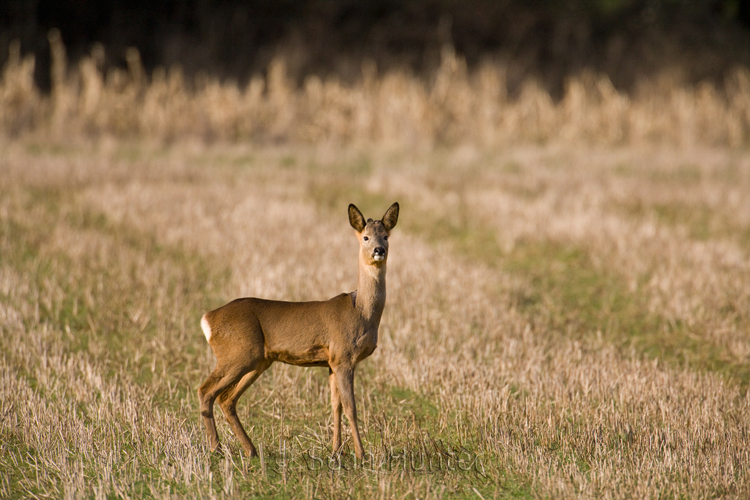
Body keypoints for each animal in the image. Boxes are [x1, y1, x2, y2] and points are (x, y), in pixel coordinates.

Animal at [198, 201, 400, 458]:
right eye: (365, 237)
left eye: (386, 236)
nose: (379, 250)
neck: (362, 313)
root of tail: (208, 319)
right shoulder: (344, 356)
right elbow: (351, 408)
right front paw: (361, 455)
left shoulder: (332, 362)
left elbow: (335, 406)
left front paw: (336, 451)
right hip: (237, 353)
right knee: (206, 391)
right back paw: (216, 448)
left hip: (259, 360)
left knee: (226, 399)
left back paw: (251, 450)